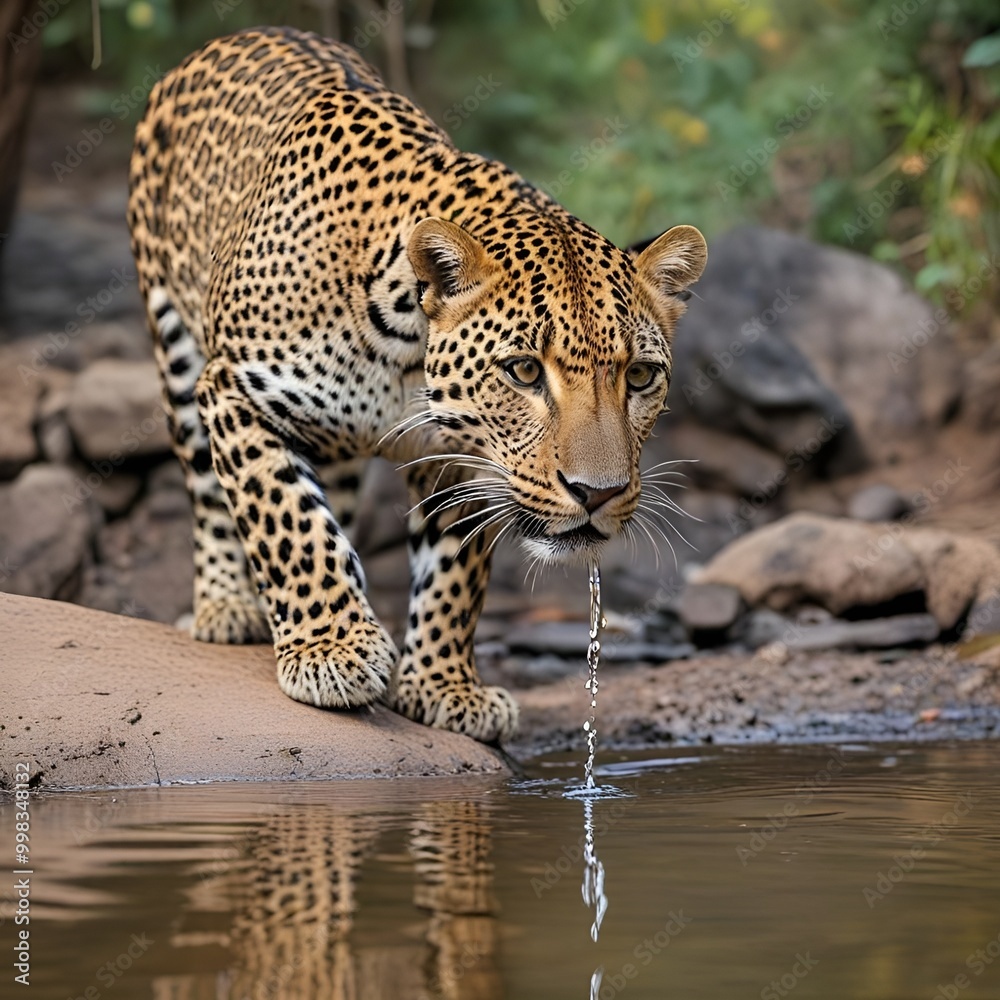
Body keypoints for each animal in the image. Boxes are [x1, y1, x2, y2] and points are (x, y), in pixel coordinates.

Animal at [127, 26, 707, 745]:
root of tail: (239, 35)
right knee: (209, 491)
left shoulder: (464, 457)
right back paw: (229, 607)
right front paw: (332, 650)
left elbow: (453, 568)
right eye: (523, 370)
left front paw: (444, 687)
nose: (596, 495)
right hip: (175, 345)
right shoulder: (236, 390)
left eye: (640, 376)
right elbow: (286, 519)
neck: (405, 350)